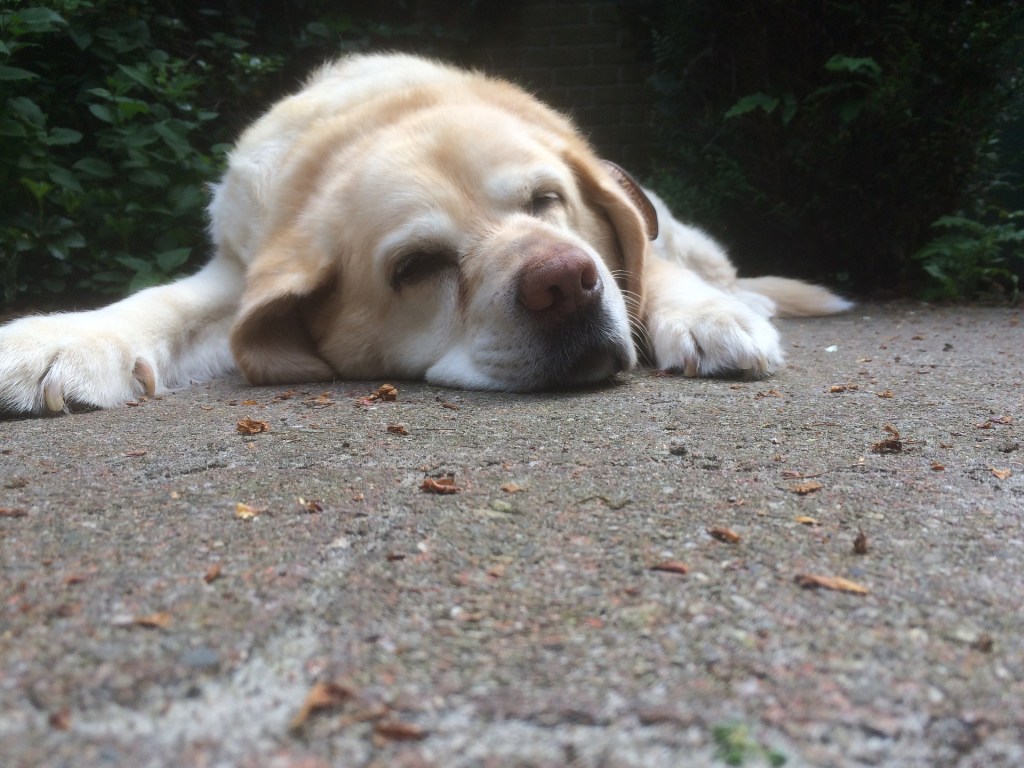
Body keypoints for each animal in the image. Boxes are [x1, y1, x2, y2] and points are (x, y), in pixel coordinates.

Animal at [0, 53, 847, 415]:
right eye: (417, 266)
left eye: (547, 199)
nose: (565, 283)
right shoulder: (237, 270)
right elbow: (160, 304)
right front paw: (55, 341)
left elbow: (645, 262)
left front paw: (708, 318)